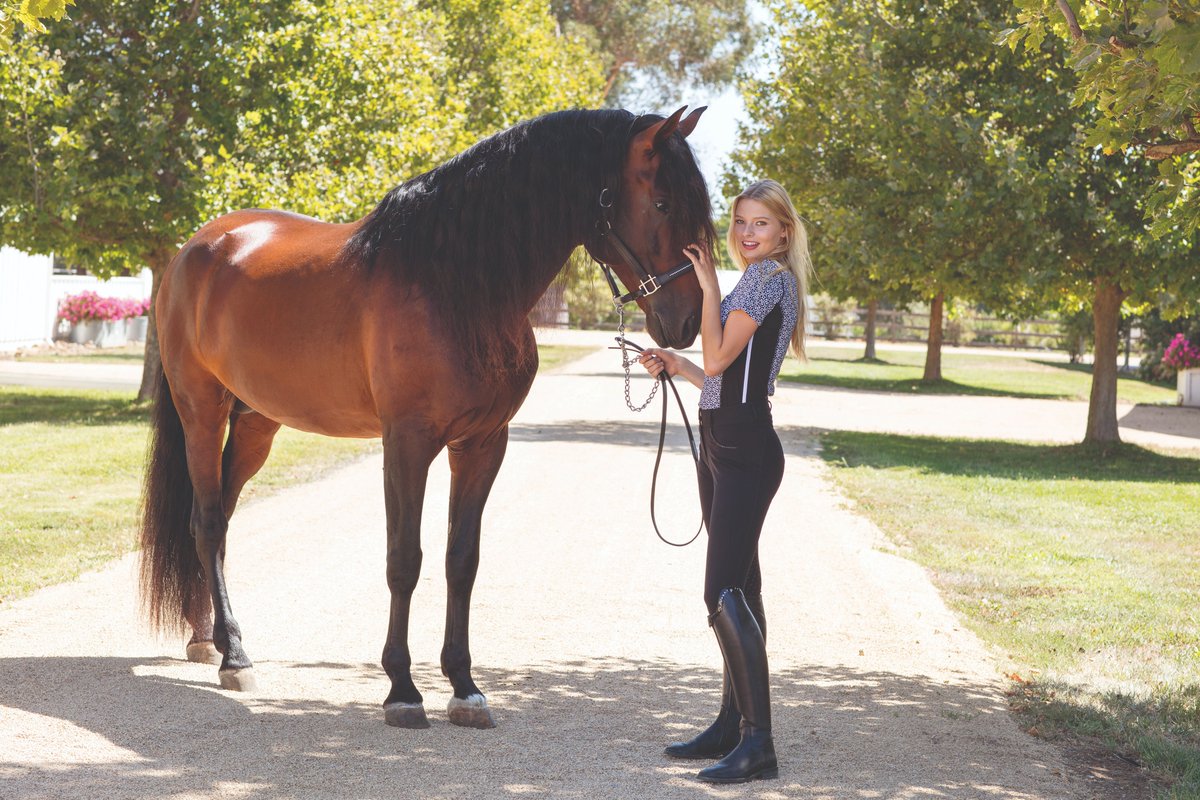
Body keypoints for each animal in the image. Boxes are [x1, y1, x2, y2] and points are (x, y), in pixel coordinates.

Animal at [139, 106, 715, 729]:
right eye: (662, 203)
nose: (688, 321)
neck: (454, 286)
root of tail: (197, 247)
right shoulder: (407, 444)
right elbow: (405, 559)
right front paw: (402, 689)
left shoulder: (483, 444)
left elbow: (461, 560)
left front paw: (464, 687)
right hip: (202, 411)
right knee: (208, 522)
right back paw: (235, 656)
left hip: (256, 423)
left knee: (215, 520)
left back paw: (211, 639)